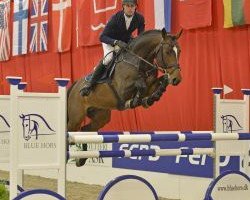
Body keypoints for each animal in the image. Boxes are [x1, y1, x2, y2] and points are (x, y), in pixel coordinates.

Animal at [67, 28, 183, 166]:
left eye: (179, 51)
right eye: (167, 52)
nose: (177, 79)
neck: (139, 62)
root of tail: (74, 85)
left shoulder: (150, 86)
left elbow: (156, 84)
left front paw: (151, 98)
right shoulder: (122, 90)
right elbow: (140, 84)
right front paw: (136, 101)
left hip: (101, 116)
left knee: (85, 130)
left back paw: (81, 158)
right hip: (76, 117)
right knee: (70, 130)